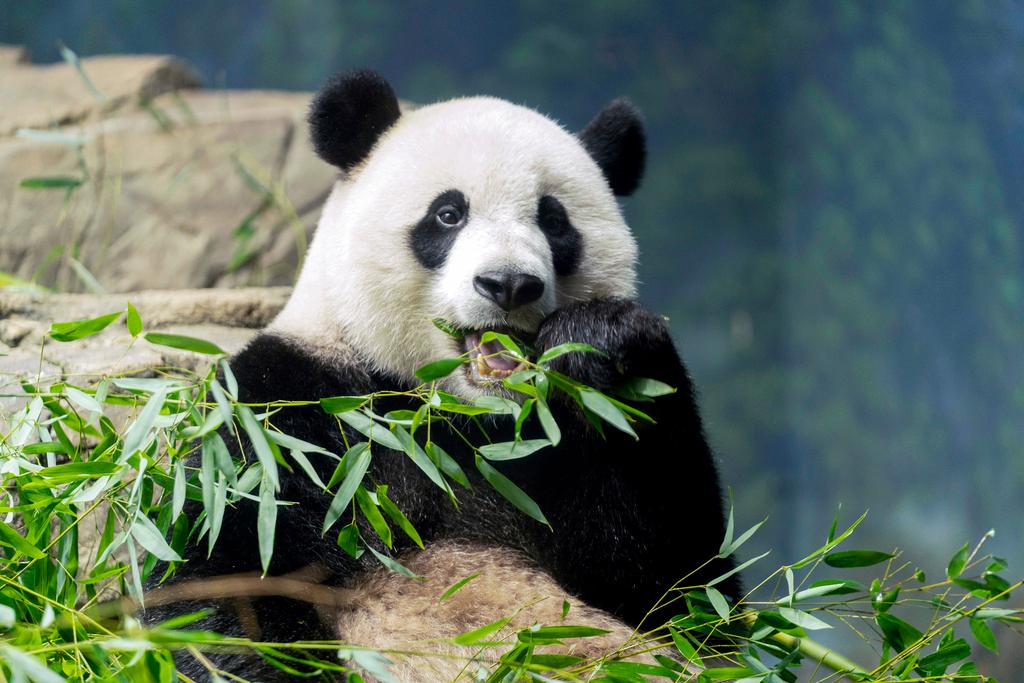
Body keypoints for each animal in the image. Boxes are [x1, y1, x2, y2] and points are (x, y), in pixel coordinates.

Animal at [146, 72, 737, 679]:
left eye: (554, 220)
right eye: (448, 215)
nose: (509, 284)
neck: (457, 411)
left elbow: (685, 591)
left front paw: (600, 341)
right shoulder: (286, 412)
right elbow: (222, 573)